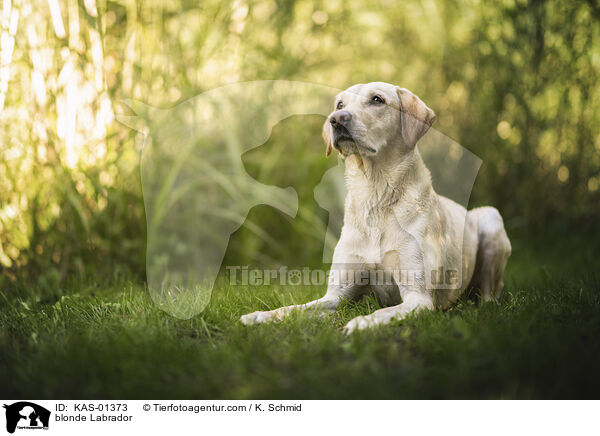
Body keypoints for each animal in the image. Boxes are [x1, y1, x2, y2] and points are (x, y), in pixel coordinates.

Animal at [239, 82, 510, 334]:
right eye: (339, 104)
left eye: (377, 99)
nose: (336, 119)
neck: (375, 195)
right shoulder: (336, 296)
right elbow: (294, 309)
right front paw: (260, 316)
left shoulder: (418, 297)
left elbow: (381, 313)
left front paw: (360, 323)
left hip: (491, 218)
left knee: (490, 296)